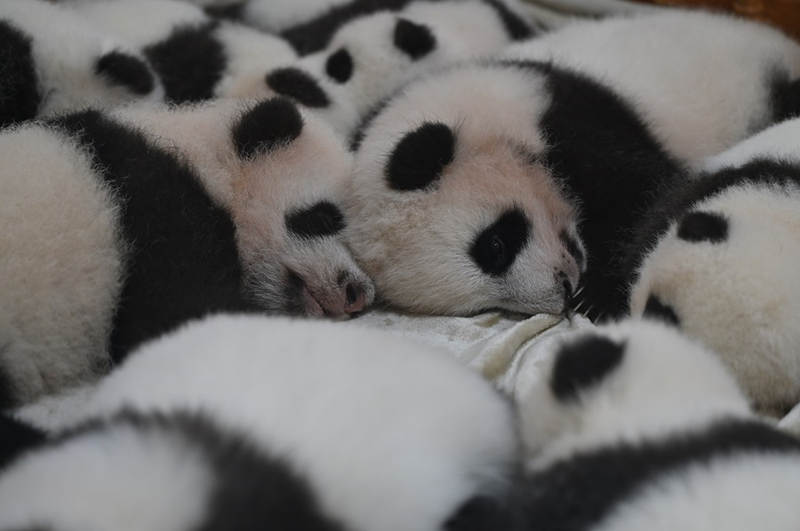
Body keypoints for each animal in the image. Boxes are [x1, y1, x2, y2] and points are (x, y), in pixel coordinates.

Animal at [344, 9, 800, 321]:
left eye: (494, 245)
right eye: (482, 306)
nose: (563, 290)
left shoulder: (564, 116)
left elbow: (644, 196)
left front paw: (600, 297)